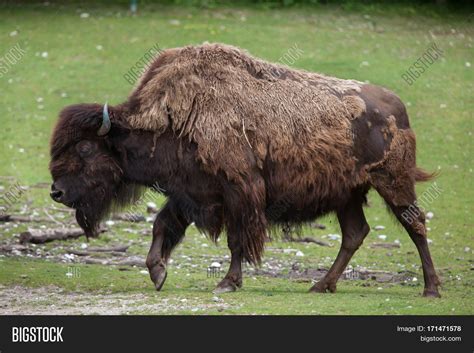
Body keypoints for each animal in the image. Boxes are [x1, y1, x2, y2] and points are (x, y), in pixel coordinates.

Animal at [48, 44, 440, 296]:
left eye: (84, 147)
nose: (56, 191)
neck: (175, 119)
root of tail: (397, 108)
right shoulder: (189, 193)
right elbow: (162, 225)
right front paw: (158, 272)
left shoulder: (239, 192)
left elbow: (237, 240)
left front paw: (227, 282)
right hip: (347, 195)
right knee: (355, 233)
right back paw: (321, 286)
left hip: (392, 183)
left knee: (415, 224)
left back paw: (431, 289)